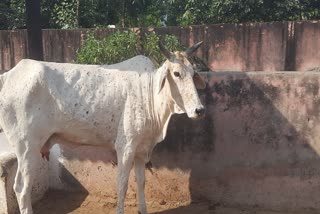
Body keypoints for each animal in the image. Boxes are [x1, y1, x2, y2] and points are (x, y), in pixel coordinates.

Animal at [0, 42, 205, 214]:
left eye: (193, 73)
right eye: (176, 73)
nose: (199, 110)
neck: (149, 95)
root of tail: (9, 75)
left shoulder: (142, 150)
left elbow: (141, 182)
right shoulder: (125, 147)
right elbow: (122, 184)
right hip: (27, 147)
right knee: (21, 188)